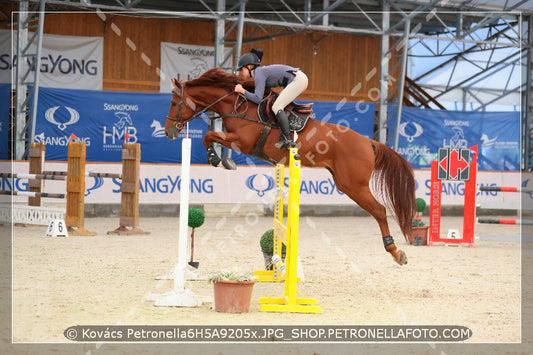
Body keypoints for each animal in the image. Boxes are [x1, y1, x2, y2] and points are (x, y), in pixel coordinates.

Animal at [164, 68, 414, 266]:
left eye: (175, 103)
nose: (169, 132)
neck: (237, 106)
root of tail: (369, 142)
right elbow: (210, 137)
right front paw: (223, 161)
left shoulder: (242, 141)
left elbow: (209, 136)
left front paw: (219, 160)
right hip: (345, 183)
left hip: (354, 185)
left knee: (379, 210)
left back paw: (395, 251)